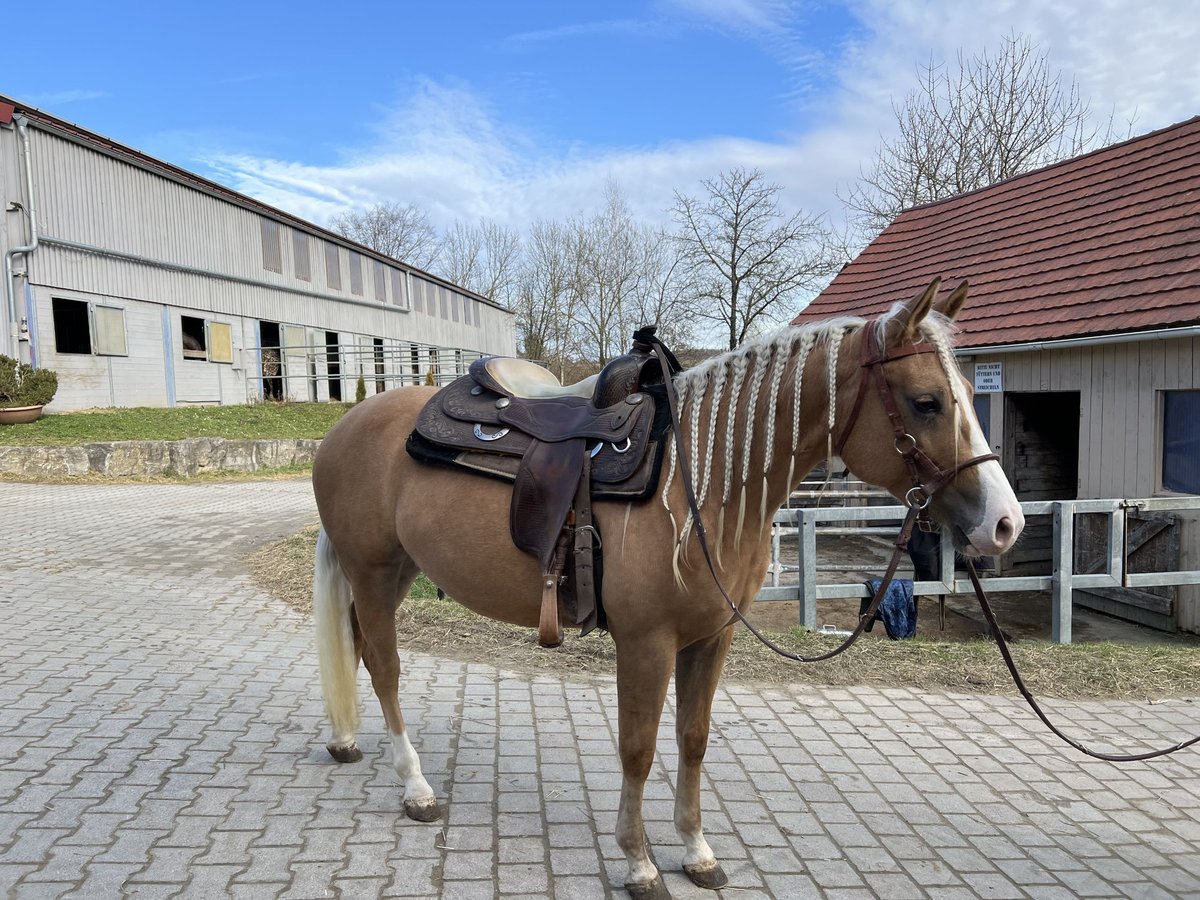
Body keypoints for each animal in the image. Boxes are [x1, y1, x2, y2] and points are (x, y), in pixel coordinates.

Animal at [309, 278, 1022, 897]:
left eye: (964, 391)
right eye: (927, 401)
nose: (1004, 523)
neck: (700, 482)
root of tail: (346, 425)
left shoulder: (712, 637)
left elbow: (692, 739)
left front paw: (696, 850)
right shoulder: (645, 643)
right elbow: (639, 747)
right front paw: (639, 861)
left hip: (397, 572)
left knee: (360, 650)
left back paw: (347, 741)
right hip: (372, 572)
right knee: (386, 668)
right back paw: (416, 788)